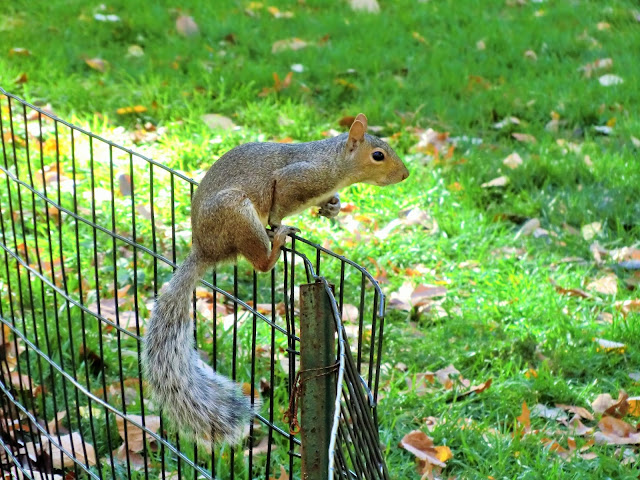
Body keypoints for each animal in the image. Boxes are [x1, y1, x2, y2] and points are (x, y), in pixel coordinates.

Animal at [141, 114, 410, 448]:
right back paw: (278, 240)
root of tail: (205, 248)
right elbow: (278, 204)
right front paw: (281, 222)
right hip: (237, 214)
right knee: (261, 263)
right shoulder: (295, 179)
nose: (405, 175)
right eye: (378, 155)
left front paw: (333, 206)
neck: (334, 163)